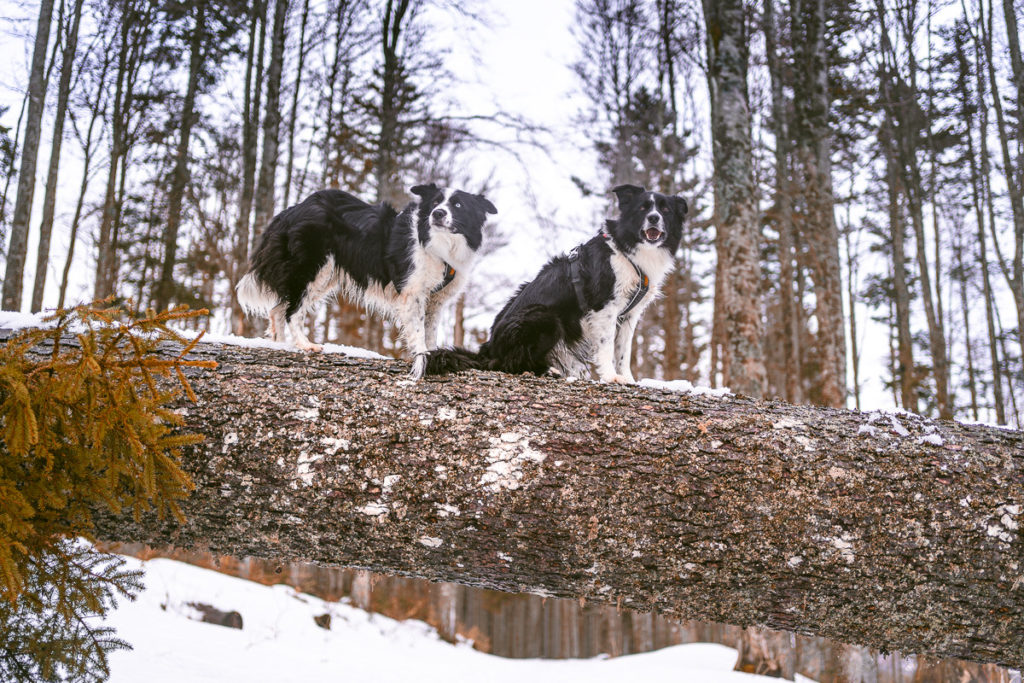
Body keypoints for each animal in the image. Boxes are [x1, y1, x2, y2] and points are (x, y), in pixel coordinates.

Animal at [237, 183, 497, 378]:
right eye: (435, 203)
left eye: (458, 205)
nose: (438, 214)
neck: (439, 244)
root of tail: (293, 209)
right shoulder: (412, 293)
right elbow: (418, 332)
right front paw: (422, 361)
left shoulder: (435, 300)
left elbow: (430, 333)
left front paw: (437, 357)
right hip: (315, 267)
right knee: (293, 310)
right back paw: (305, 344)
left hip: (323, 276)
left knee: (278, 309)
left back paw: (281, 344)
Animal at [423, 184, 688, 382]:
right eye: (643, 208)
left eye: (665, 210)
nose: (653, 218)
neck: (628, 250)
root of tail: (488, 348)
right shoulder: (605, 309)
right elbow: (606, 348)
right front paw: (610, 377)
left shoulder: (629, 315)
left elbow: (624, 351)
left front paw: (628, 378)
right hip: (545, 317)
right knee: (507, 364)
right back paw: (546, 370)